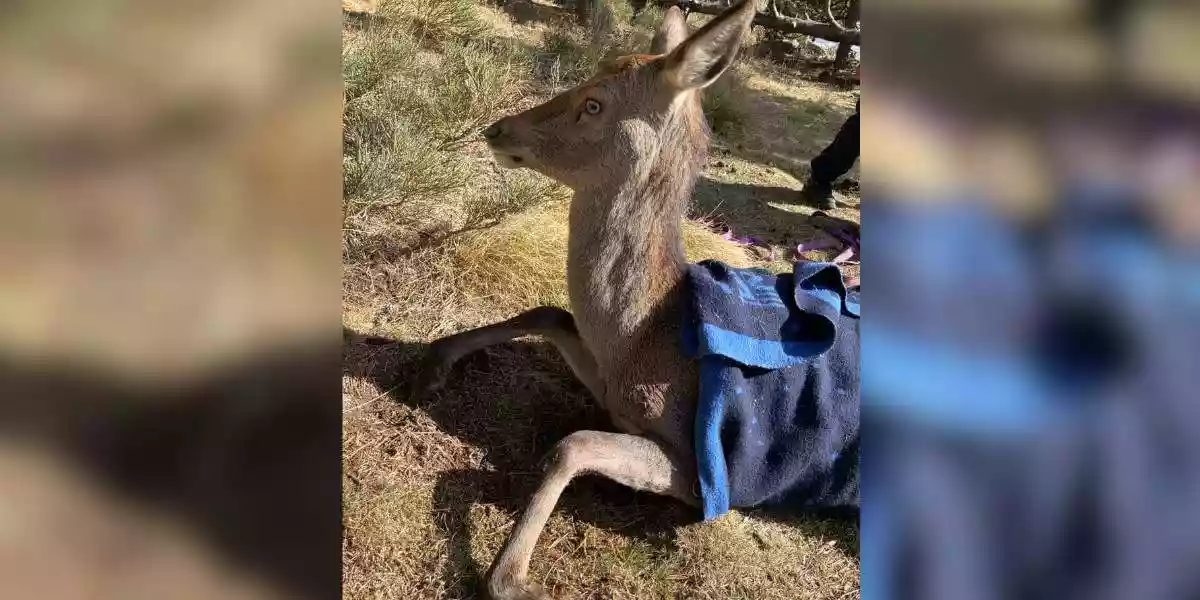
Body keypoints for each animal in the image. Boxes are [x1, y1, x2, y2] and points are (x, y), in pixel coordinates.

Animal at [420, 2, 854, 597]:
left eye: (594, 103)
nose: (497, 128)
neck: (644, 338)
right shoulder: (611, 386)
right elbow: (551, 311)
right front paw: (434, 363)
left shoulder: (706, 471)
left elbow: (572, 444)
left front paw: (512, 578)